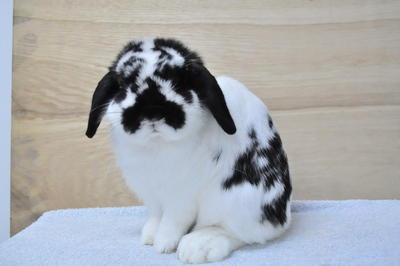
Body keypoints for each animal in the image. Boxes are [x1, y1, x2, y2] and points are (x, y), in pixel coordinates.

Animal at [86, 38, 292, 264]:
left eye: (179, 83)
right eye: (123, 85)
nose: (152, 112)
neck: (157, 143)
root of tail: (284, 215)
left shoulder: (181, 197)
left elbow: (173, 221)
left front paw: (163, 244)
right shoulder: (151, 196)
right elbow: (156, 215)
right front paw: (149, 236)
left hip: (239, 202)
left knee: (242, 234)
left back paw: (196, 247)